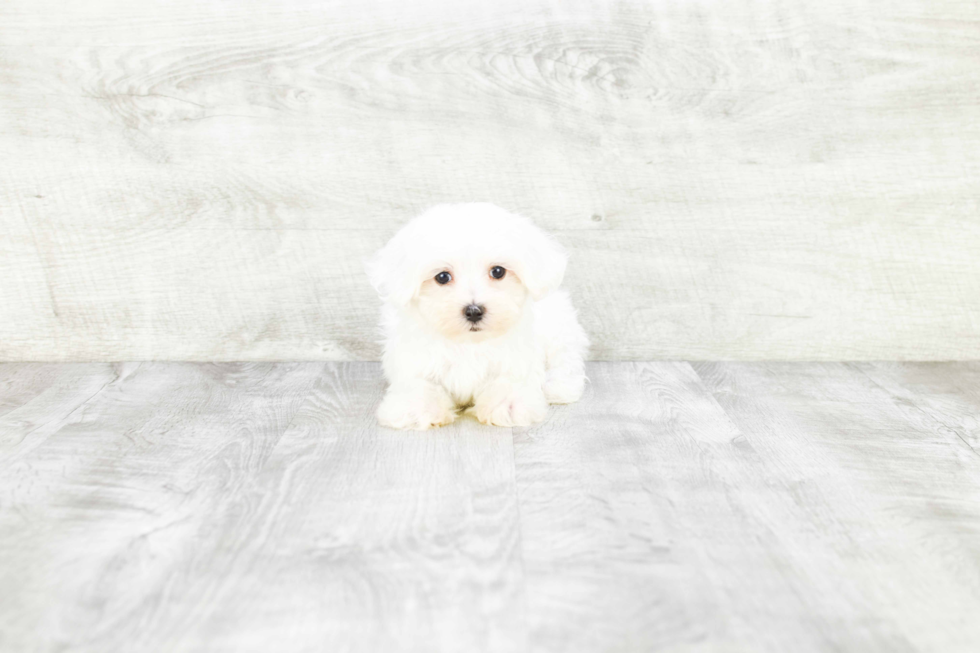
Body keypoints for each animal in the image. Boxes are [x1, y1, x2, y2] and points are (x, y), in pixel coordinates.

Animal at [364, 202, 584, 428]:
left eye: (498, 271)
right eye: (442, 277)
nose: (474, 311)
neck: (468, 342)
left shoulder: (516, 360)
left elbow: (509, 381)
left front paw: (509, 406)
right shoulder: (414, 360)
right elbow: (420, 384)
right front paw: (417, 409)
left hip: (560, 324)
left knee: (566, 359)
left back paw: (558, 387)